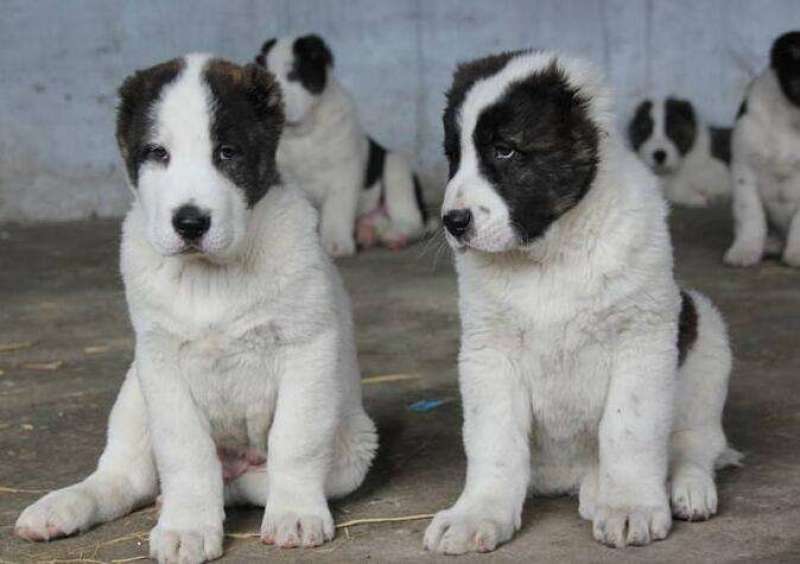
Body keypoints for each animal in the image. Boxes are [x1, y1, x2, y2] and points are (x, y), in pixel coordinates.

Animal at [14, 54, 378, 564]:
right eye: (157, 153)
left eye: (226, 153)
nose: (190, 222)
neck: (211, 276)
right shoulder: (160, 360)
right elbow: (185, 450)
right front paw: (186, 526)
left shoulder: (309, 345)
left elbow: (296, 440)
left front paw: (295, 515)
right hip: (134, 394)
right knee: (123, 477)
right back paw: (61, 507)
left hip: (354, 447)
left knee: (255, 480)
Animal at [256, 33, 432, 256]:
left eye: (294, 74)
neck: (302, 133)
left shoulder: (344, 173)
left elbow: (337, 210)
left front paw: (336, 244)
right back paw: (366, 232)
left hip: (396, 168)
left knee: (412, 220)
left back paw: (396, 235)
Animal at [422, 50, 740, 552]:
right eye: (453, 156)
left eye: (505, 150)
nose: (453, 222)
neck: (551, 253)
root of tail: (571, 479)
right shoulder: (489, 350)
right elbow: (494, 439)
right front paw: (477, 514)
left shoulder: (642, 337)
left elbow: (628, 428)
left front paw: (630, 505)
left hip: (705, 333)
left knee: (697, 444)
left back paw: (684, 489)